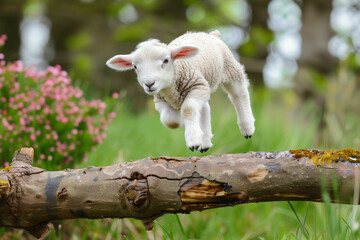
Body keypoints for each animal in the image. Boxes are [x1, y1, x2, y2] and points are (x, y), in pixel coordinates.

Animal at [107, 30, 256, 152]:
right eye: (135, 66)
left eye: (166, 60)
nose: (149, 84)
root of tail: (212, 34)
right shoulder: (160, 100)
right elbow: (169, 120)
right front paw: (185, 124)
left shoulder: (196, 86)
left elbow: (188, 109)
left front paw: (193, 140)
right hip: (206, 85)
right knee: (205, 108)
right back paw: (205, 141)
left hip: (230, 69)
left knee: (238, 93)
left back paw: (247, 127)